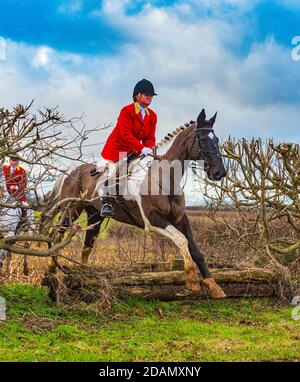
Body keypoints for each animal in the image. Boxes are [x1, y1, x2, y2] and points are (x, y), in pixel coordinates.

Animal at [45, 109, 226, 300]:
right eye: (203, 139)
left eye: (217, 140)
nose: (220, 173)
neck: (163, 176)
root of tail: (71, 171)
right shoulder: (153, 220)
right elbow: (181, 240)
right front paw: (192, 279)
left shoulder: (180, 218)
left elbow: (195, 249)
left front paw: (213, 285)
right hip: (71, 210)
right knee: (58, 236)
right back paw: (51, 269)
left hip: (94, 215)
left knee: (87, 247)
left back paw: (83, 275)